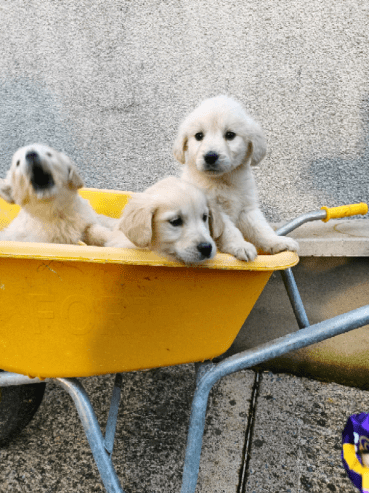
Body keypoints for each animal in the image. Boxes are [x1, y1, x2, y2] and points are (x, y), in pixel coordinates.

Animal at [173, 93, 300, 260]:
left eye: (230, 135)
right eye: (199, 136)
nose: (210, 156)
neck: (223, 180)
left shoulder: (246, 207)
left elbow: (260, 228)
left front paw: (276, 241)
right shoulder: (216, 211)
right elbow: (229, 231)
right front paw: (241, 246)